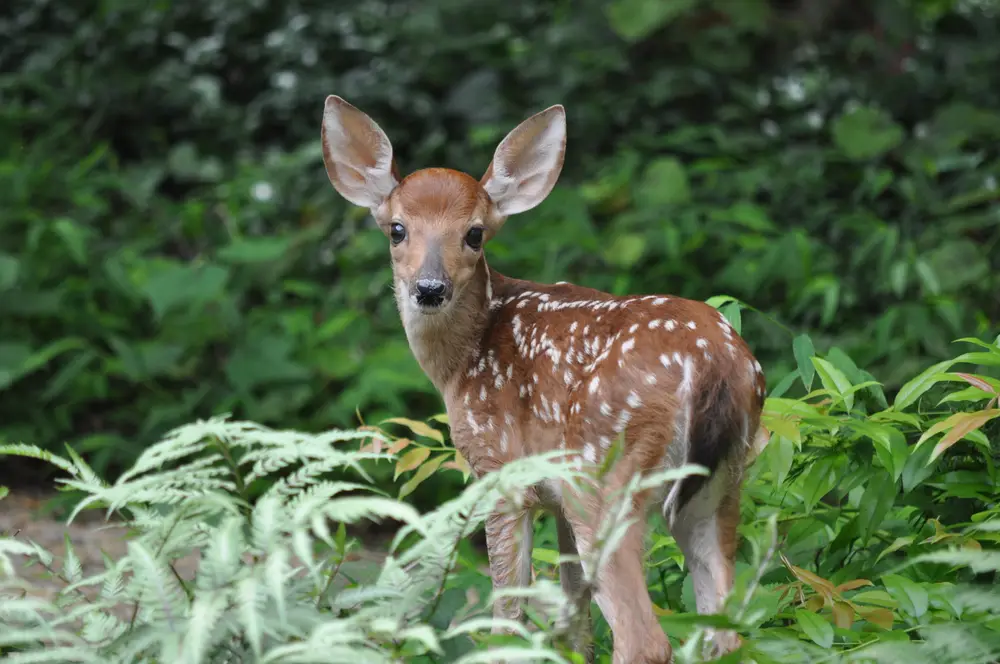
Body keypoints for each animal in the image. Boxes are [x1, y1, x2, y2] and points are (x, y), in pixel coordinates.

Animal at [320, 95, 768, 664]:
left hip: (604, 472)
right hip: (721, 483)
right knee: (727, 630)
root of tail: (716, 365)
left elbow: (510, 612)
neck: (463, 361)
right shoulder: (552, 496)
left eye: (474, 233)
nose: (429, 288)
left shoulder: (499, 469)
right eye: (397, 229)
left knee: (645, 640)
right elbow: (573, 618)